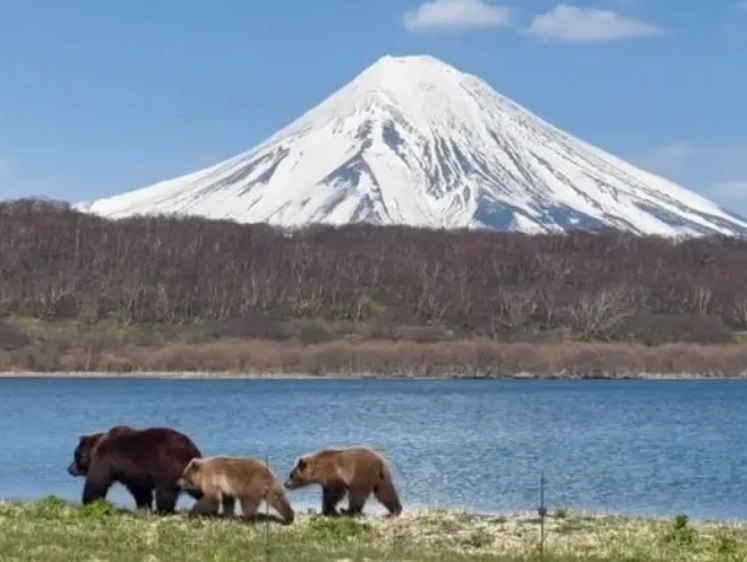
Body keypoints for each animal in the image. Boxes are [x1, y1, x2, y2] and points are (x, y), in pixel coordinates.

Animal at [67, 424, 205, 512]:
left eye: (76, 455)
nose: (69, 469)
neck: (96, 447)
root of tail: (190, 448)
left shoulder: (106, 460)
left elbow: (96, 483)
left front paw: (89, 502)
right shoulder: (136, 473)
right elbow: (140, 491)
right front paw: (143, 506)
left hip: (168, 467)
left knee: (165, 493)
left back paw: (163, 510)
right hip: (190, 471)